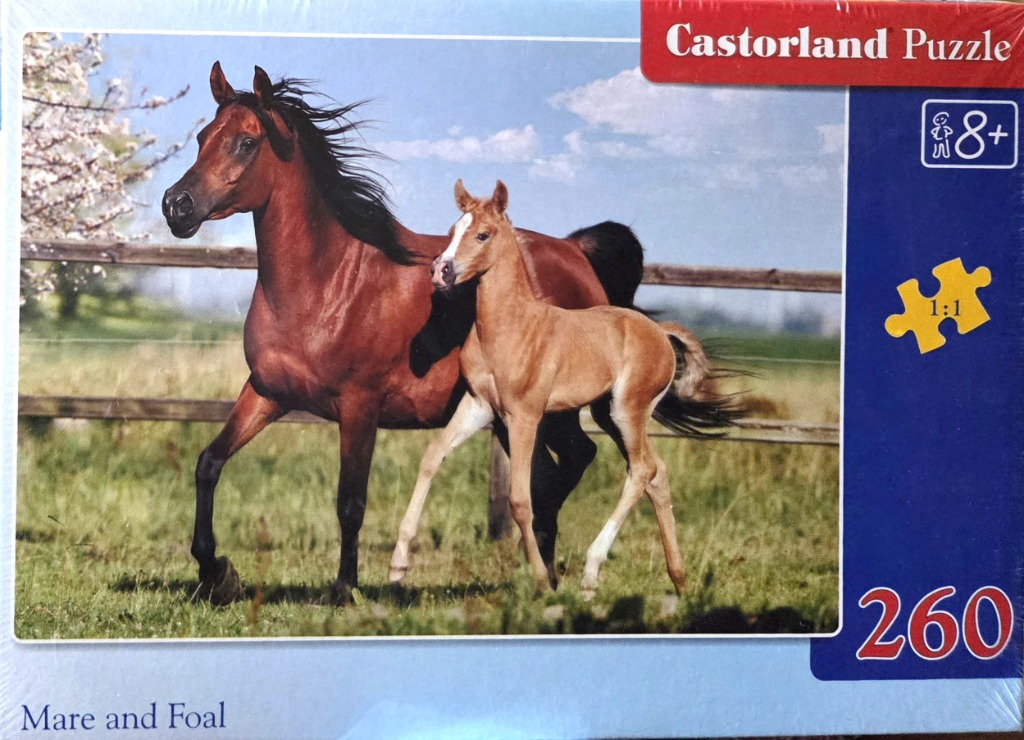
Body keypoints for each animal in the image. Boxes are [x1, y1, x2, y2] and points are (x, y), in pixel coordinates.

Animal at [161, 62, 647, 605]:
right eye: (202, 137)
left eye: (246, 142)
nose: (176, 206)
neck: (325, 283)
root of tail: (575, 251)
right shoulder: (267, 392)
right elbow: (209, 463)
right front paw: (216, 573)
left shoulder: (359, 406)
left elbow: (350, 501)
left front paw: (344, 589)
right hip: (513, 415)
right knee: (548, 473)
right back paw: (540, 574)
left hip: (552, 406)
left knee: (574, 463)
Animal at [390, 180, 740, 595]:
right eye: (451, 231)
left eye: (483, 234)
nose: (440, 271)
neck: (509, 325)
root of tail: (659, 332)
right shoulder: (478, 406)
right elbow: (432, 457)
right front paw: (398, 564)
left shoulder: (523, 416)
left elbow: (520, 498)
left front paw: (542, 581)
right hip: (609, 415)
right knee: (656, 473)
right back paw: (679, 579)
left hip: (627, 410)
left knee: (641, 471)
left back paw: (591, 574)